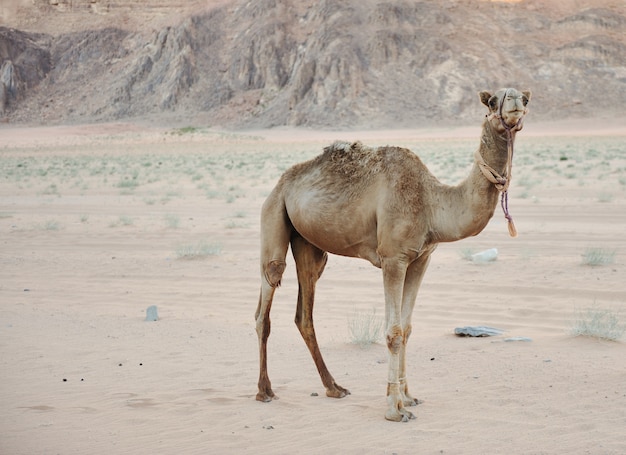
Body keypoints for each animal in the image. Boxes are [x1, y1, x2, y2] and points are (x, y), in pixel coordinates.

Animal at [255, 87, 532, 422]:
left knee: (304, 313)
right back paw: (265, 391)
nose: (515, 101)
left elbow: (408, 327)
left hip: (311, 246)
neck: (432, 203)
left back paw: (334, 387)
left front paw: (409, 397)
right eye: (492, 101)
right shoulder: (393, 258)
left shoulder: (421, 258)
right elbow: (393, 332)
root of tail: (282, 182)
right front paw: (394, 408)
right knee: (267, 298)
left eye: (526, 100)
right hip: (274, 215)